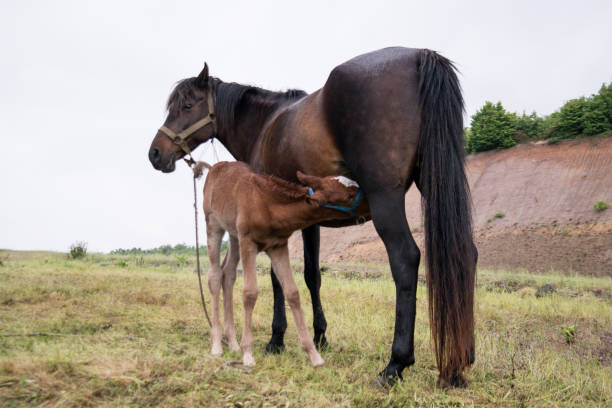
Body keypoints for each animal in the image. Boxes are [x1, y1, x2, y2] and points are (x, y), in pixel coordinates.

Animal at [198, 161, 366, 368]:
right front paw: (248, 354)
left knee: (228, 274)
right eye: (349, 196)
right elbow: (250, 293)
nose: (370, 202)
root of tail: (215, 167)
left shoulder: (278, 246)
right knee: (214, 276)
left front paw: (314, 355)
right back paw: (217, 345)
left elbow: (292, 293)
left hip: (234, 235)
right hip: (213, 225)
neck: (268, 206)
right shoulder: (248, 242)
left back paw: (233, 343)